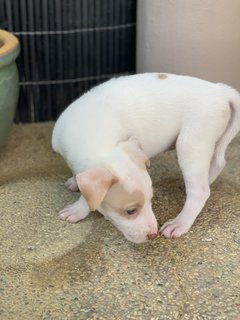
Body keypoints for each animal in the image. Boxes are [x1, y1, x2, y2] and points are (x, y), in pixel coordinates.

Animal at [52, 72, 240, 242]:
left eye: (149, 201)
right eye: (130, 211)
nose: (153, 235)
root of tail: (220, 90)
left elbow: (88, 197)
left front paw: (77, 210)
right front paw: (75, 182)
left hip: (191, 143)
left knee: (200, 191)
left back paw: (180, 223)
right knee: (218, 163)